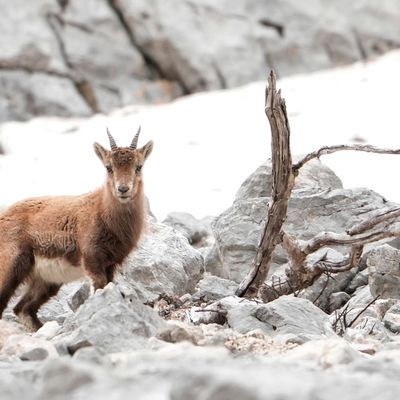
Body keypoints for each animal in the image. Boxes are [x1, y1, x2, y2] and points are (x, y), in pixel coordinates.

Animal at [0, 126, 153, 330]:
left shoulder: (110, 264)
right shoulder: (91, 258)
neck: (102, 211)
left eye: (139, 166)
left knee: (23, 308)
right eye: (108, 167)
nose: (123, 189)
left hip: (46, 280)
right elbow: (99, 287)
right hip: (11, 265)